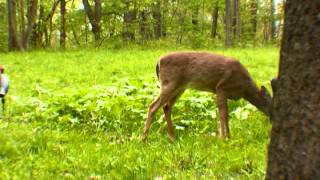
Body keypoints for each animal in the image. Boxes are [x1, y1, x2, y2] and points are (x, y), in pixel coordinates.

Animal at [141, 51, 272, 141]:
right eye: (272, 104)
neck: (245, 89)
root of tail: (159, 61)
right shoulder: (221, 88)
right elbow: (223, 113)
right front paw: (224, 138)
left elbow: (226, 114)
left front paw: (227, 136)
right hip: (169, 83)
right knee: (152, 106)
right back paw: (143, 138)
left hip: (180, 87)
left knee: (166, 107)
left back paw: (173, 137)